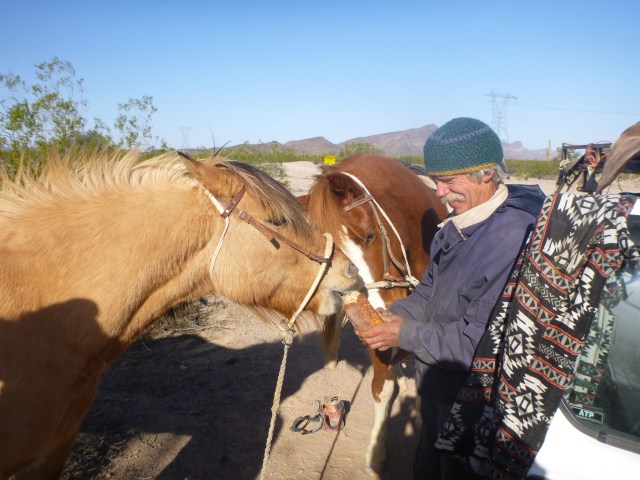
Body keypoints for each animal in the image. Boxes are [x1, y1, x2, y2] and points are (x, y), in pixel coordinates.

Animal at [302, 153, 448, 475]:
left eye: (370, 235)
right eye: (326, 258)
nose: (382, 307)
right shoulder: (375, 332)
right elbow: (382, 388)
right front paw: (377, 451)